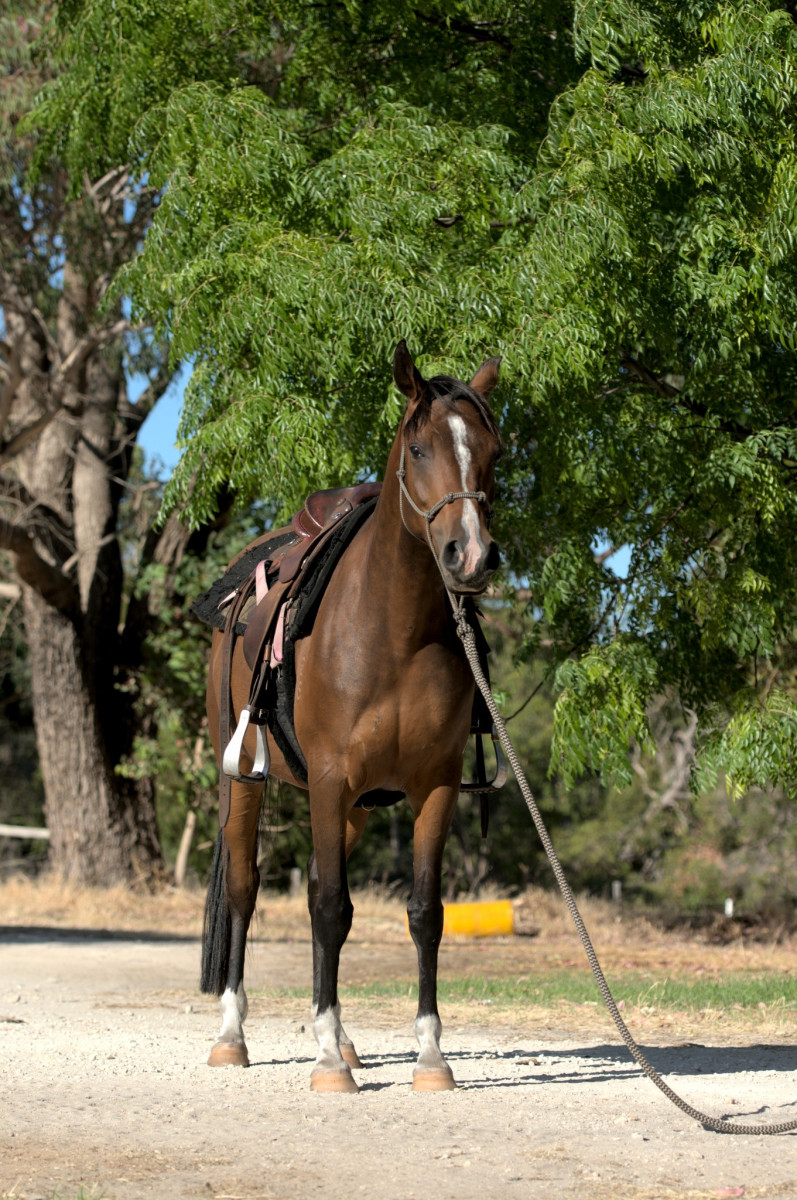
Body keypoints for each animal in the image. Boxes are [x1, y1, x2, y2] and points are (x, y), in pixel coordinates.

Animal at [201, 340, 502, 1093]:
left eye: (493, 452)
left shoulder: (433, 786)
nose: (472, 555)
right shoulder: (332, 777)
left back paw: (338, 1035)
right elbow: (330, 907)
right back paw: (235, 1034)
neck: (393, 631)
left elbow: (423, 913)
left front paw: (429, 1055)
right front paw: (329, 1065)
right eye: (419, 449)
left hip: (356, 805)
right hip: (244, 780)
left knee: (317, 885)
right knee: (246, 889)